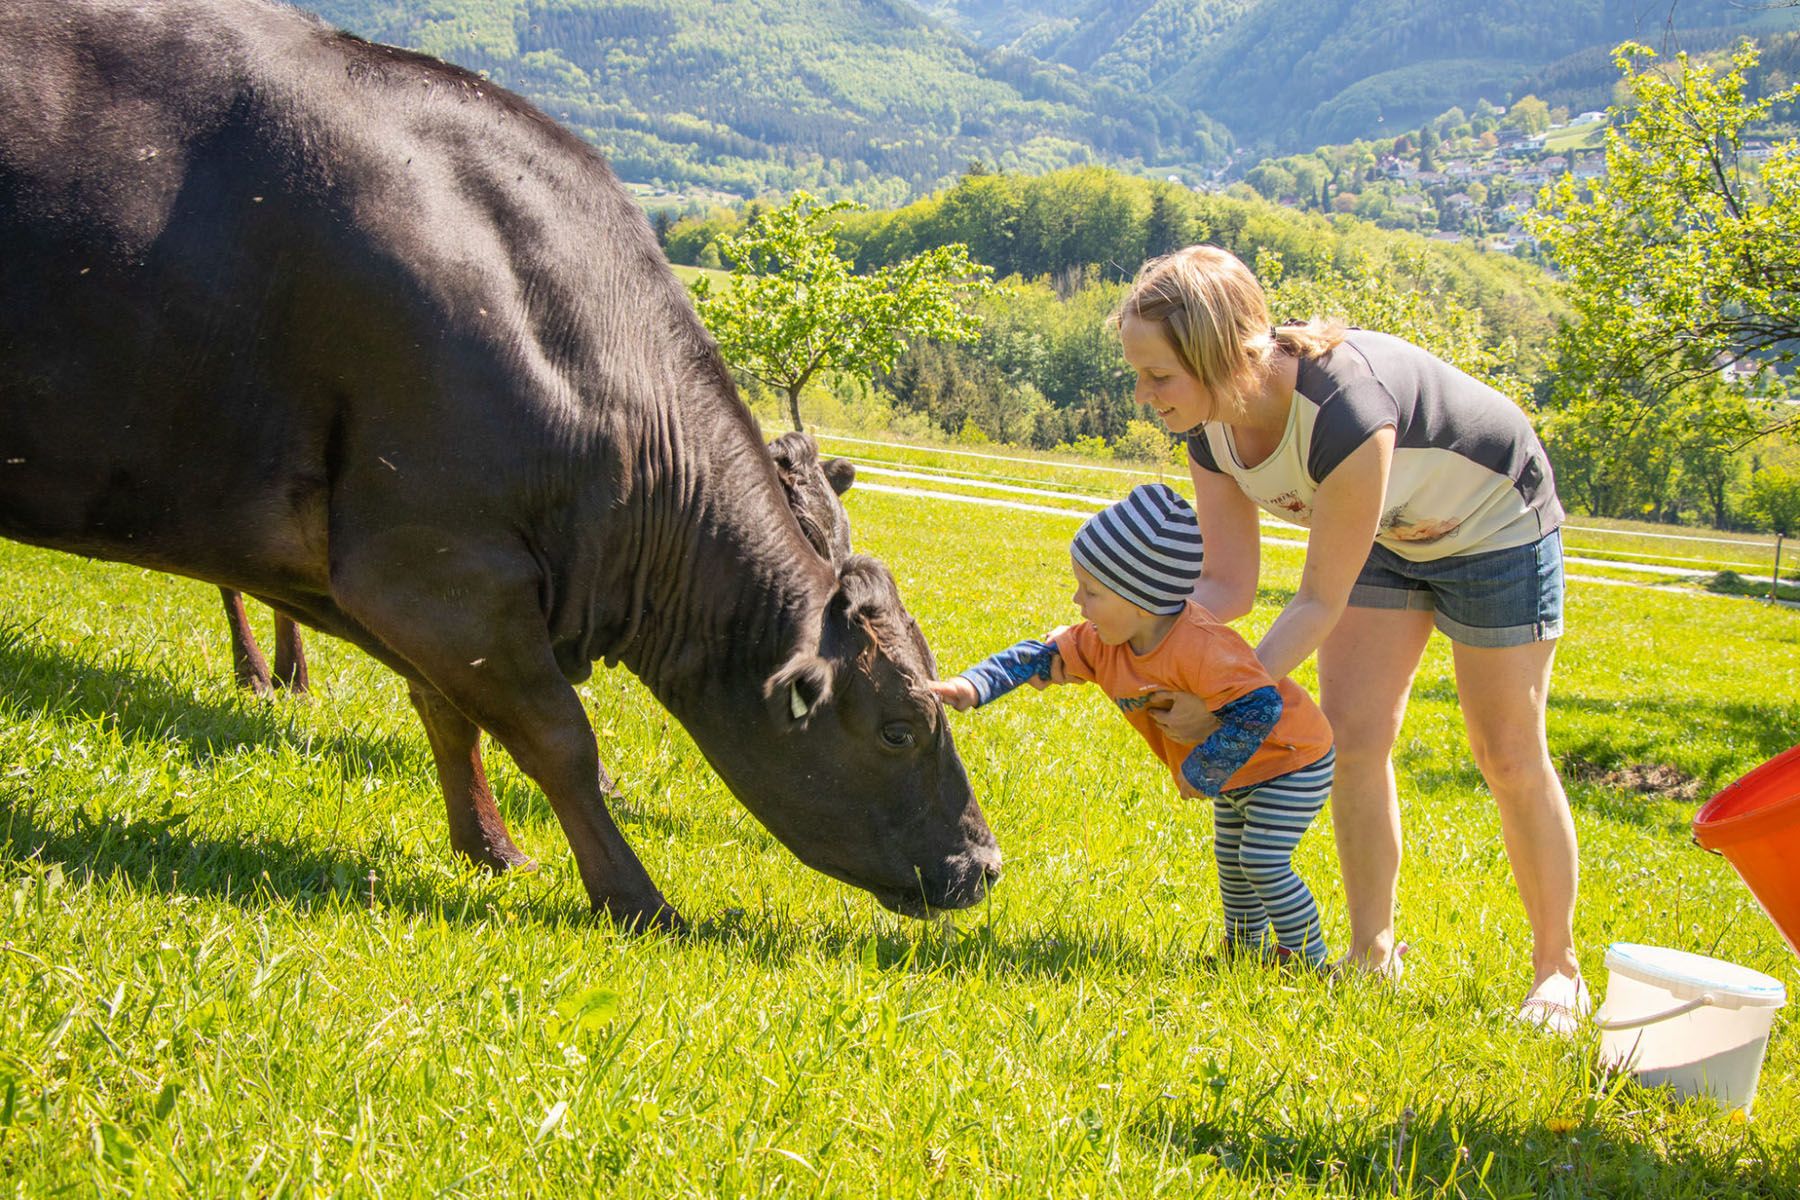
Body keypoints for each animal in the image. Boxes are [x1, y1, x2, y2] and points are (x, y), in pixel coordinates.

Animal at [0, 0, 999, 929]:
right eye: (900, 730)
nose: (983, 864)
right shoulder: (435, 564)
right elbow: (560, 739)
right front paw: (634, 897)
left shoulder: (432, 591)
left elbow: (447, 711)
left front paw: (489, 846)